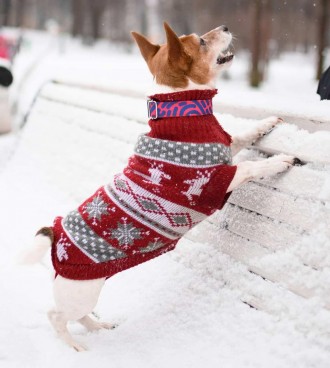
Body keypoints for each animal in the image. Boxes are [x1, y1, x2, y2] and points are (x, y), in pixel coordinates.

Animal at [21, 22, 294, 350]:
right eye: (202, 41)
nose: (226, 26)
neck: (180, 109)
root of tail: (54, 233)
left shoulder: (226, 147)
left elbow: (244, 135)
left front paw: (268, 123)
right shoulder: (216, 179)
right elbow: (251, 167)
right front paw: (280, 161)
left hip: (88, 289)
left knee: (78, 316)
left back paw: (99, 327)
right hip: (80, 293)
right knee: (55, 316)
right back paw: (75, 346)